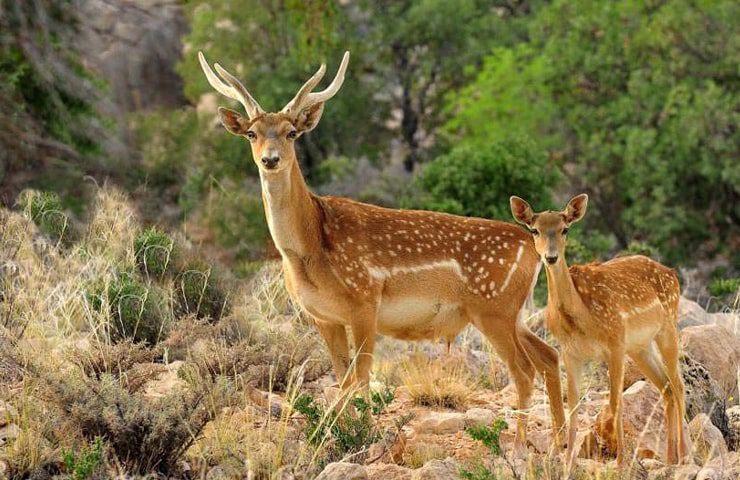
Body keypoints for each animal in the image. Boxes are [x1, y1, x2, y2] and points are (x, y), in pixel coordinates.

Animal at [198, 50, 568, 452]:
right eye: (252, 132)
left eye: (291, 132)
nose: (270, 159)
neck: (309, 249)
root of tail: (531, 246)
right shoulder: (324, 316)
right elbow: (342, 377)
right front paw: (342, 435)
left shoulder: (365, 301)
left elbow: (358, 378)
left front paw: (356, 437)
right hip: (513, 312)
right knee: (549, 356)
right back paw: (559, 440)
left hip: (493, 308)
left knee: (524, 370)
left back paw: (520, 445)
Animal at [508, 194, 688, 464]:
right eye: (534, 229)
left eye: (565, 228)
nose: (551, 257)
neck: (581, 318)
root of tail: (673, 273)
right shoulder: (570, 352)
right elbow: (573, 405)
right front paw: (567, 462)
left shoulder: (615, 342)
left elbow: (615, 402)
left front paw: (621, 461)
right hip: (639, 347)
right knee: (666, 387)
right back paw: (670, 458)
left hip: (667, 326)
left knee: (679, 386)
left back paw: (686, 455)